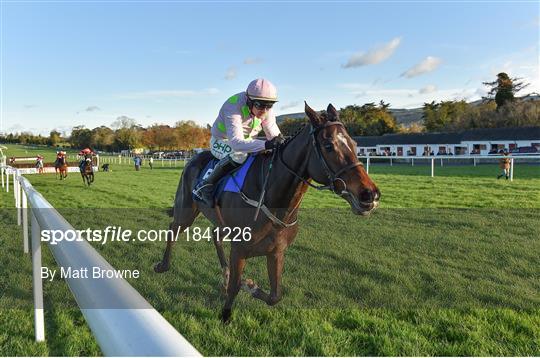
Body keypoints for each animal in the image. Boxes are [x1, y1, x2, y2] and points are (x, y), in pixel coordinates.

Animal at [154, 103, 382, 322]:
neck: (274, 205)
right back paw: (163, 265)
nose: (370, 195)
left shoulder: (276, 251)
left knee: (215, 235)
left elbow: (275, 296)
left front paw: (252, 287)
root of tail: (194, 158)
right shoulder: (239, 250)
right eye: (329, 146)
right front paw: (228, 311)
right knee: (173, 229)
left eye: (354, 144)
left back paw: (223, 277)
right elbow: (236, 287)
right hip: (186, 210)